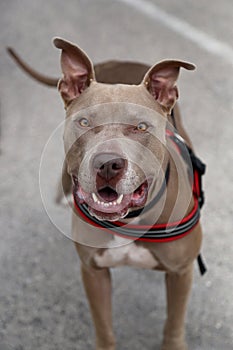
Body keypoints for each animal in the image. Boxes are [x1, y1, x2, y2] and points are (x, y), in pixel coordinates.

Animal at [8, 39, 206, 350]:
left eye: (141, 127)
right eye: (84, 122)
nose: (108, 163)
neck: (131, 219)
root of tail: (115, 61)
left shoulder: (181, 272)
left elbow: (173, 325)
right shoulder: (94, 271)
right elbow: (104, 327)